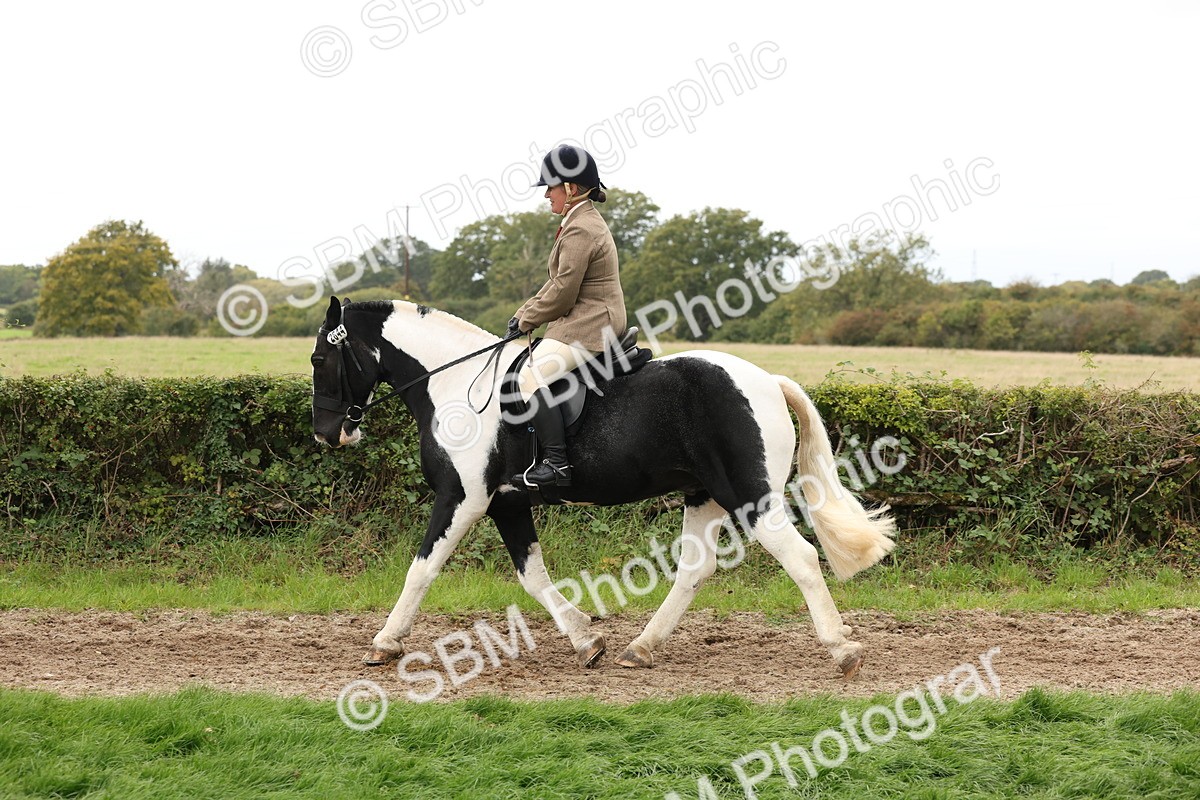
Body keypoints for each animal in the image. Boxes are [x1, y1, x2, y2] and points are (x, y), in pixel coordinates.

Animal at [310, 296, 896, 677]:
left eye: (320, 358)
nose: (326, 434)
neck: (456, 386)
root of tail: (766, 381)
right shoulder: (507, 504)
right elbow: (534, 578)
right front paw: (586, 640)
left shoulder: (463, 499)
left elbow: (421, 569)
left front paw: (385, 643)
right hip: (703, 495)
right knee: (694, 570)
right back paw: (641, 648)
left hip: (749, 497)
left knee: (800, 558)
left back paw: (842, 651)